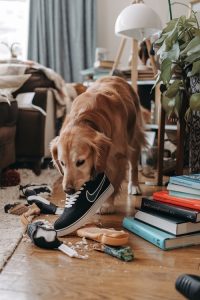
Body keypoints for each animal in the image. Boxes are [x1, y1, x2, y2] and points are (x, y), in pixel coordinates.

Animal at [50, 77, 145, 213]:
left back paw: (134, 186)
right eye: (62, 163)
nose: (68, 190)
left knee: (133, 165)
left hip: (134, 137)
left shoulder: (116, 157)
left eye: (80, 162)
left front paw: (107, 204)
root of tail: (117, 78)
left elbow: (113, 181)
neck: (83, 119)